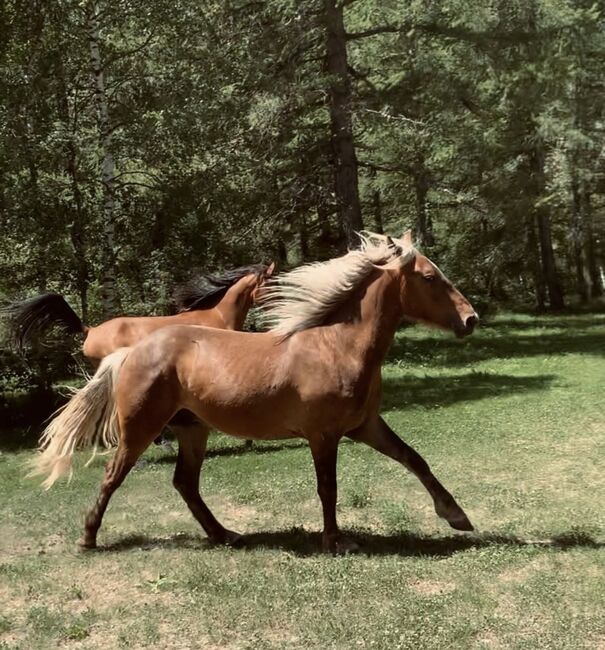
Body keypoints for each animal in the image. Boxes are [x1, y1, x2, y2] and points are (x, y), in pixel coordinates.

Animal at [31, 230, 476, 548]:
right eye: (430, 277)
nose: (471, 319)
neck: (336, 346)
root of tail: (130, 352)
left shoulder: (365, 425)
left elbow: (415, 459)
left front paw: (457, 516)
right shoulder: (324, 435)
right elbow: (328, 487)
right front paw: (335, 541)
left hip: (192, 429)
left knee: (185, 483)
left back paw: (224, 534)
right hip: (140, 429)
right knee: (113, 476)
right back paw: (88, 539)